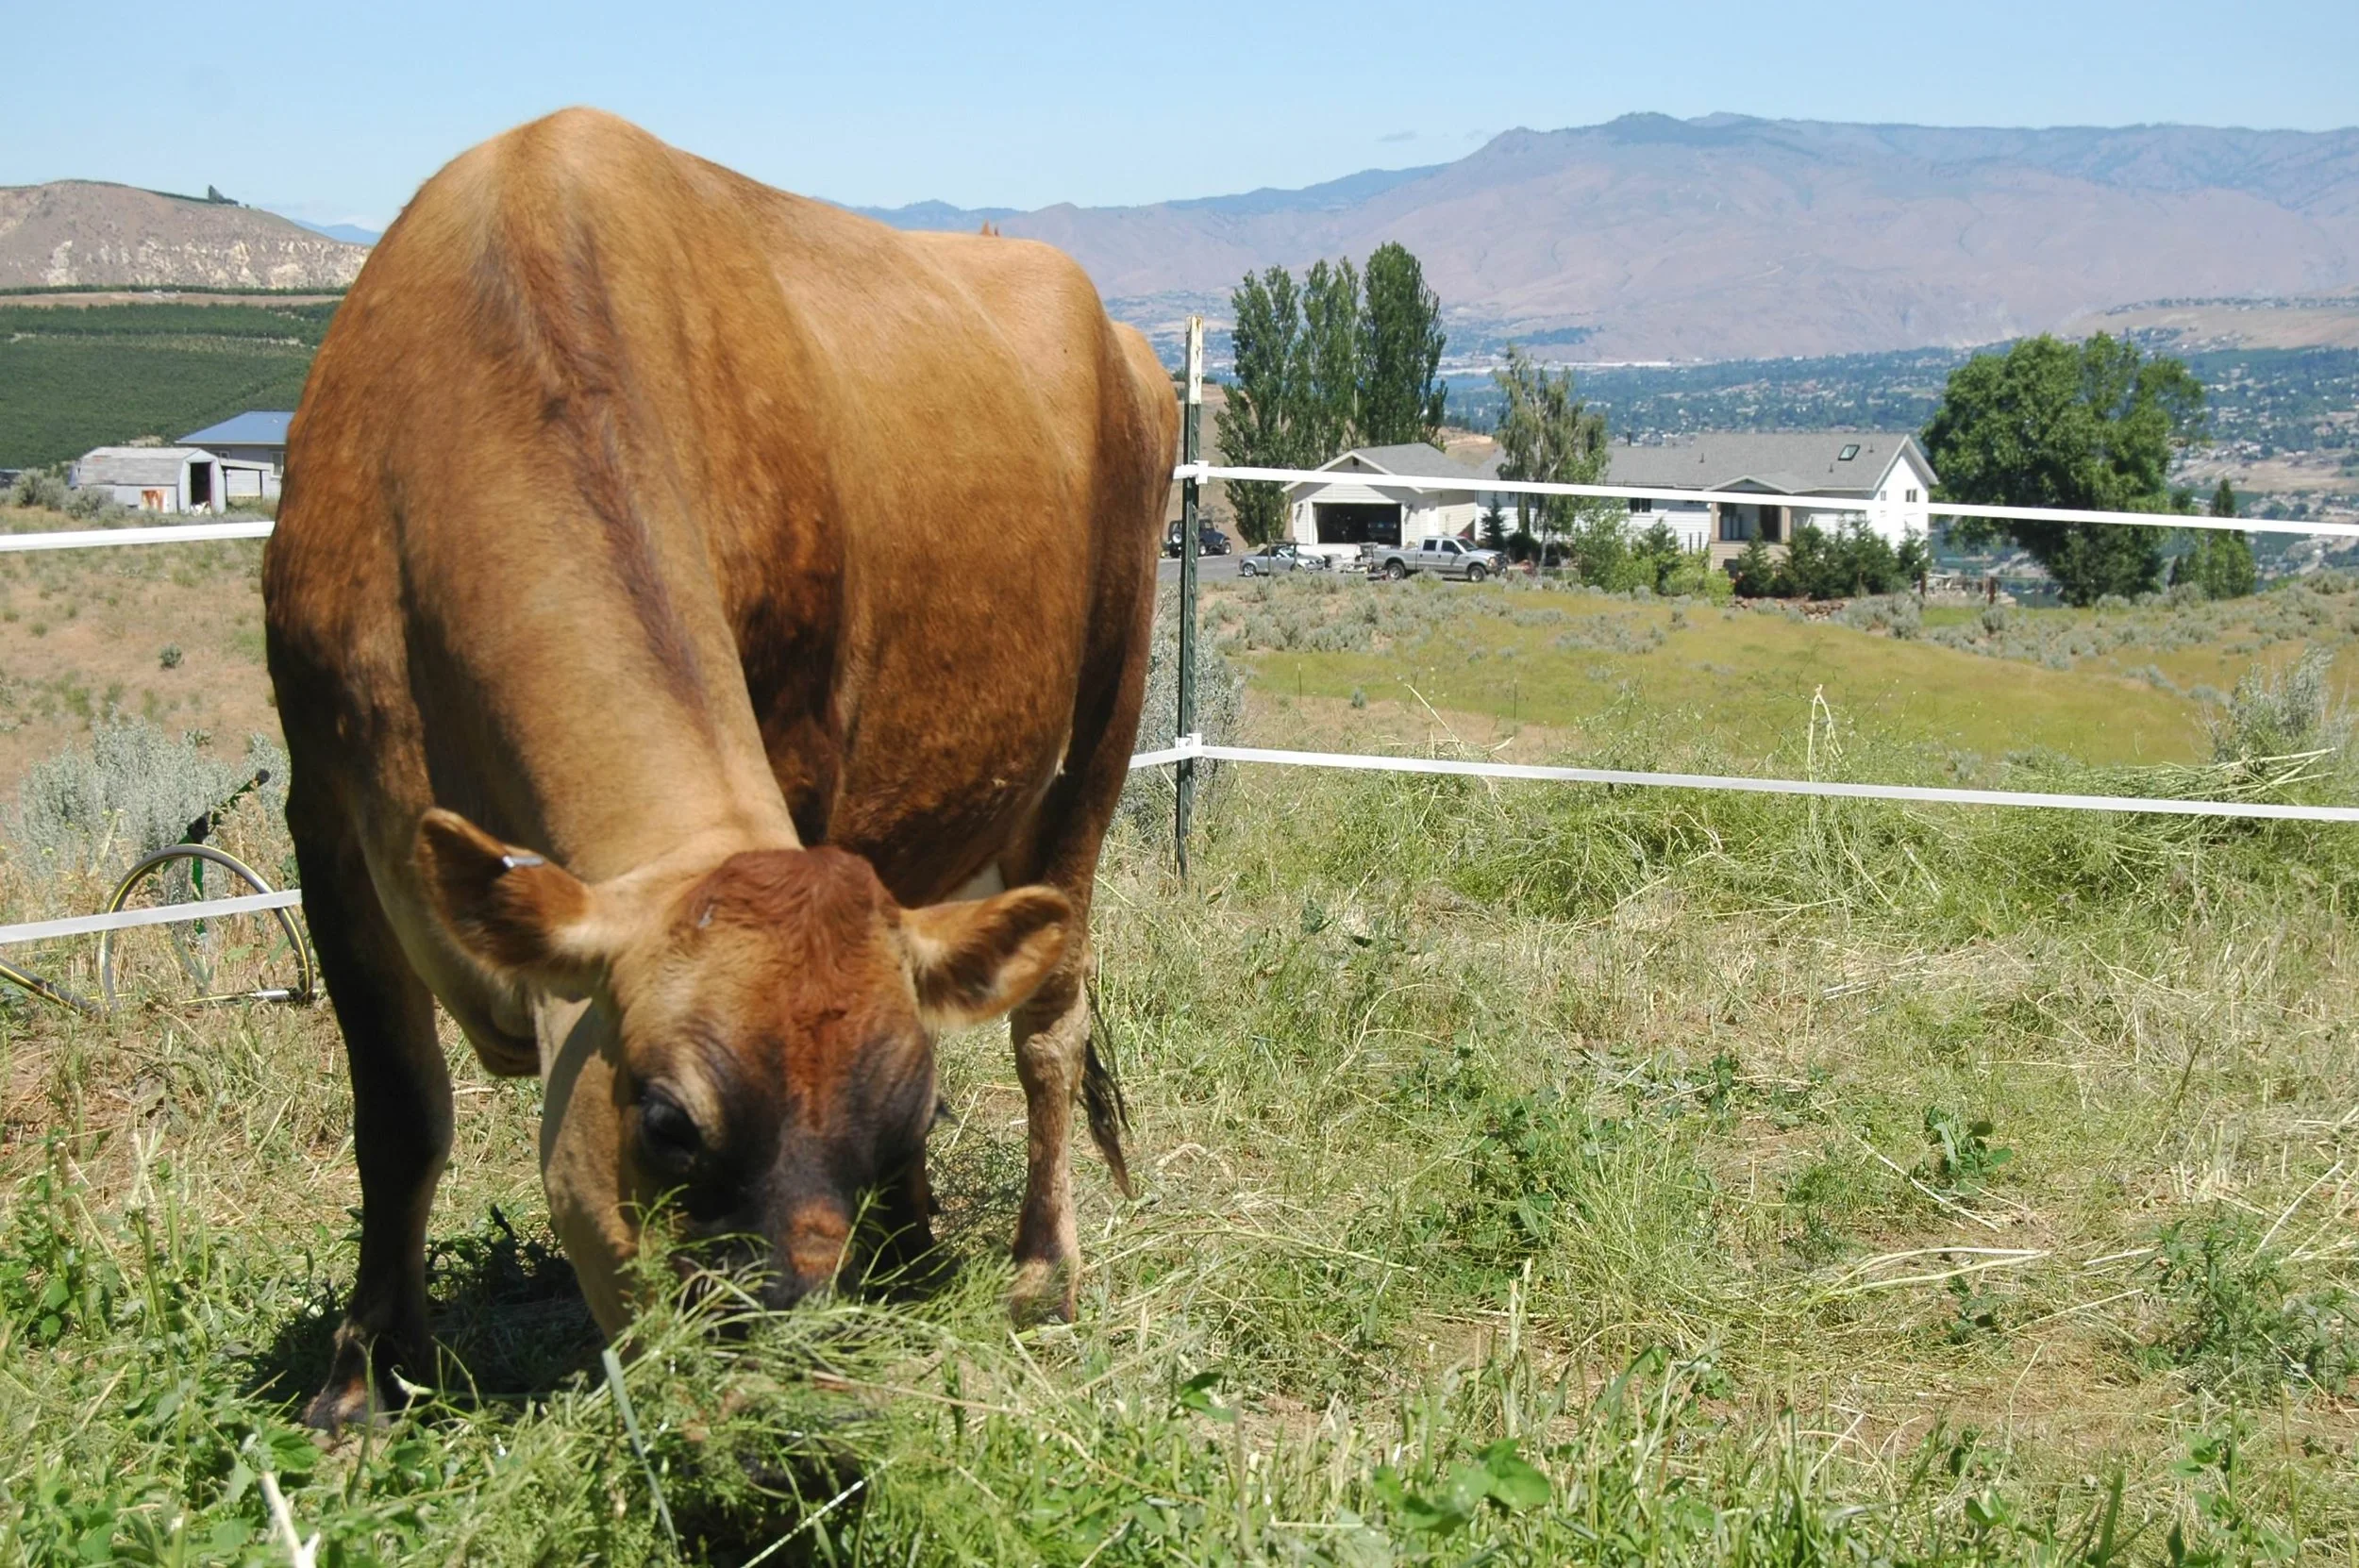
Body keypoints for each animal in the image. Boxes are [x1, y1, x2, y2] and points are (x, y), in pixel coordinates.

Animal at [262, 108, 1177, 1431]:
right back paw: (912, 1251)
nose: (780, 1374)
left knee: (1050, 1026)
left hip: (1100, 728)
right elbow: (397, 1115)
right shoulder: (324, 811)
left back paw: (1039, 1276)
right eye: (667, 1123)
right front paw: (362, 1381)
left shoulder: (798, 751)